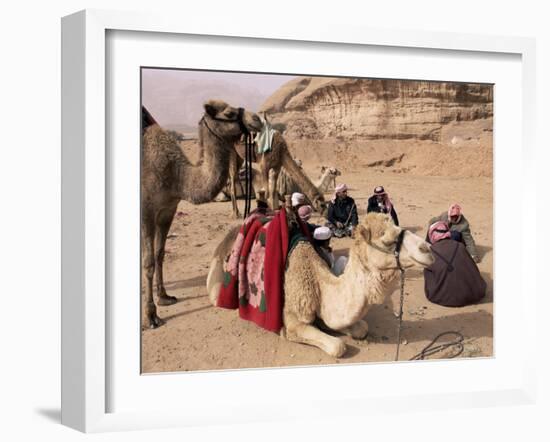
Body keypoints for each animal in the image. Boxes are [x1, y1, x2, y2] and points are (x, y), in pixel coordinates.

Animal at [141, 101, 264, 328]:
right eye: (229, 113)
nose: (257, 119)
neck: (177, 176)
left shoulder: (167, 210)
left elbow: (160, 254)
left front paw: (164, 297)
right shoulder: (147, 211)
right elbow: (148, 262)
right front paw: (151, 315)